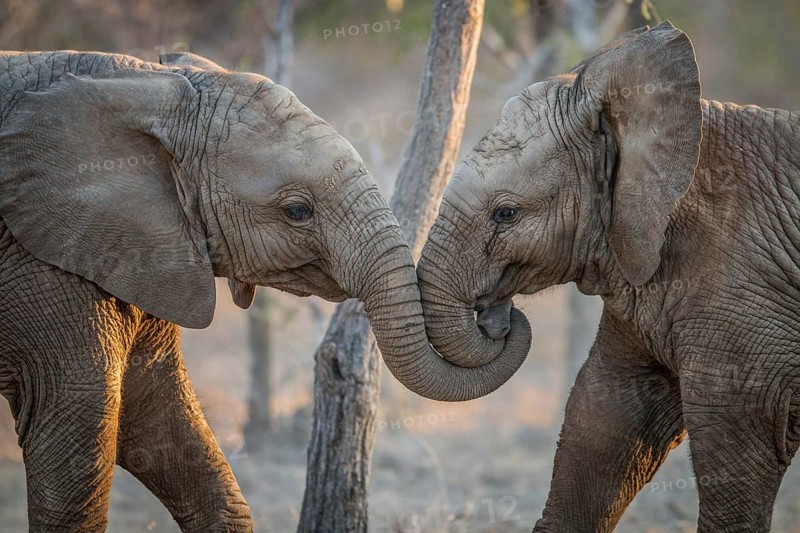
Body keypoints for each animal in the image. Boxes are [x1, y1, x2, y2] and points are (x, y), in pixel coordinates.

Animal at [0, 50, 530, 531]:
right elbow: (83, 429)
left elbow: (158, 419)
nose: (499, 314)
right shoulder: (41, 266)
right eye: (297, 211)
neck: (143, 81)